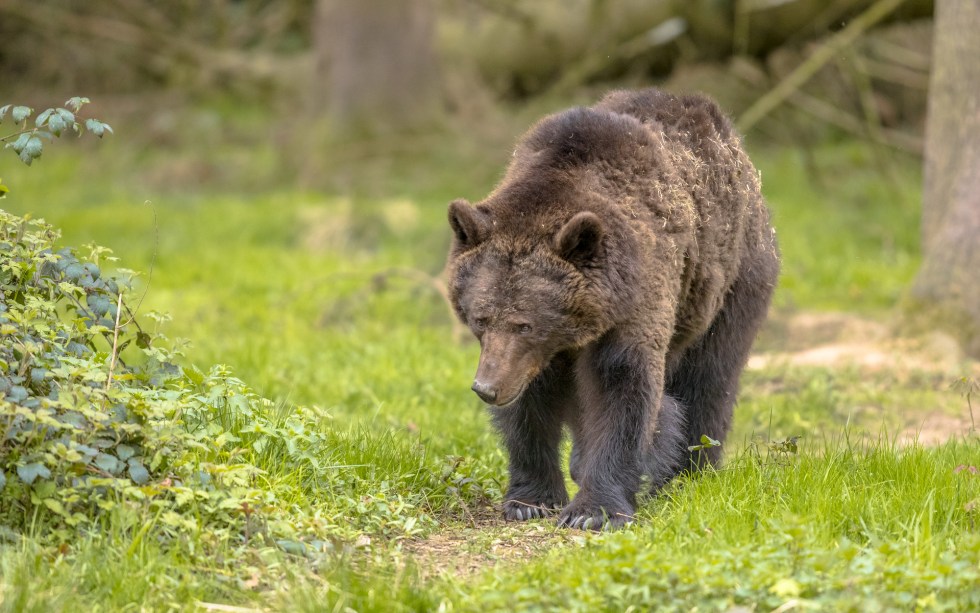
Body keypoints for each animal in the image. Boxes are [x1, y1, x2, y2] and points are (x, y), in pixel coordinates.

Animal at [445, 88, 779, 530]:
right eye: (480, 318)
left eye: (524, 324)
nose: (486, 387)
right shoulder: (536, 355)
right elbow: (530, 405)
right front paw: (529, 498)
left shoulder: (635, 301)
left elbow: (621, 389)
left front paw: (594, 511)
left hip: (732, 282)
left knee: (710, 379)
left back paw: (688, 474)